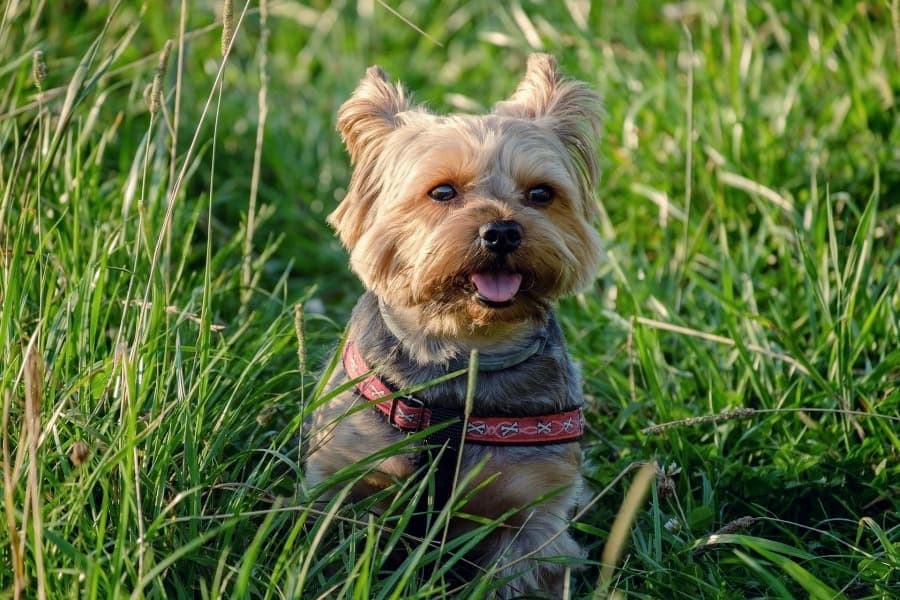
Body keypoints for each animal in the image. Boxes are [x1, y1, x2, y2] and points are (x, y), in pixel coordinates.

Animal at [306, 54, 600, 596]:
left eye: (541, 194)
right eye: (442, 191)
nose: (502, 231)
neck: (462, 352)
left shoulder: (532, 514)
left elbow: (518, 572)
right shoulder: (346, 480)